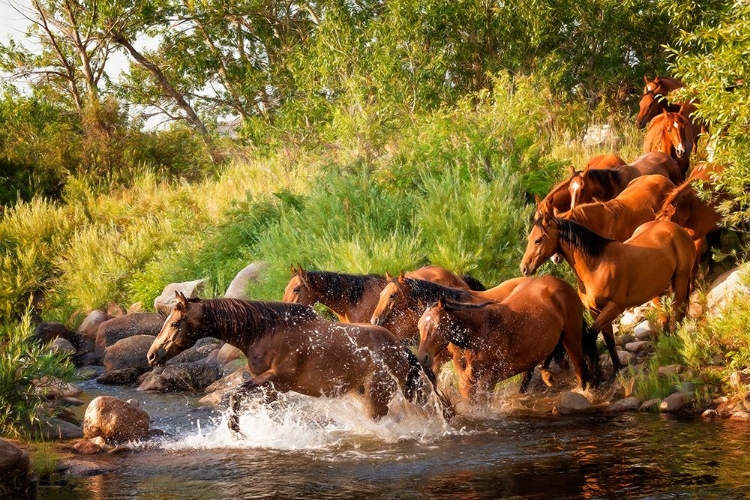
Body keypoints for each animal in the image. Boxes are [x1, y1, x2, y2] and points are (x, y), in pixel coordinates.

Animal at [148, 292, 452, 434]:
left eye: (174, 323)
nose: (152, 355)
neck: (264, 332)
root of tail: (400, 349)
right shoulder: (272, 388)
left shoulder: (276, 379)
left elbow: (235, 395)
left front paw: (236, 430)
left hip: (378, 395)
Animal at [418, 276, 600, 404]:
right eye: (419, 326)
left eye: (438, 327)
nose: (422, 357)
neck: (478, 335)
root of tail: (560, 282)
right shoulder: (466, 383)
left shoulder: (488, 381)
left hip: (571, 336)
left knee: (580, 369)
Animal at [524, 215, 700, 376]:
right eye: (529, 239)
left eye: (538, 240)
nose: (524, 268)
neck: (597, 266)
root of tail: (677, 228)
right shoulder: (596, 311)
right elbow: (608, 339)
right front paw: (616, 369)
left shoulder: (614, 307)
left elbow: (590, 336)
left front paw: (595, 372)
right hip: (657, 286)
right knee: (664, 314)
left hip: (680, 279)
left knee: (677, 311)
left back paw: (674, 341)